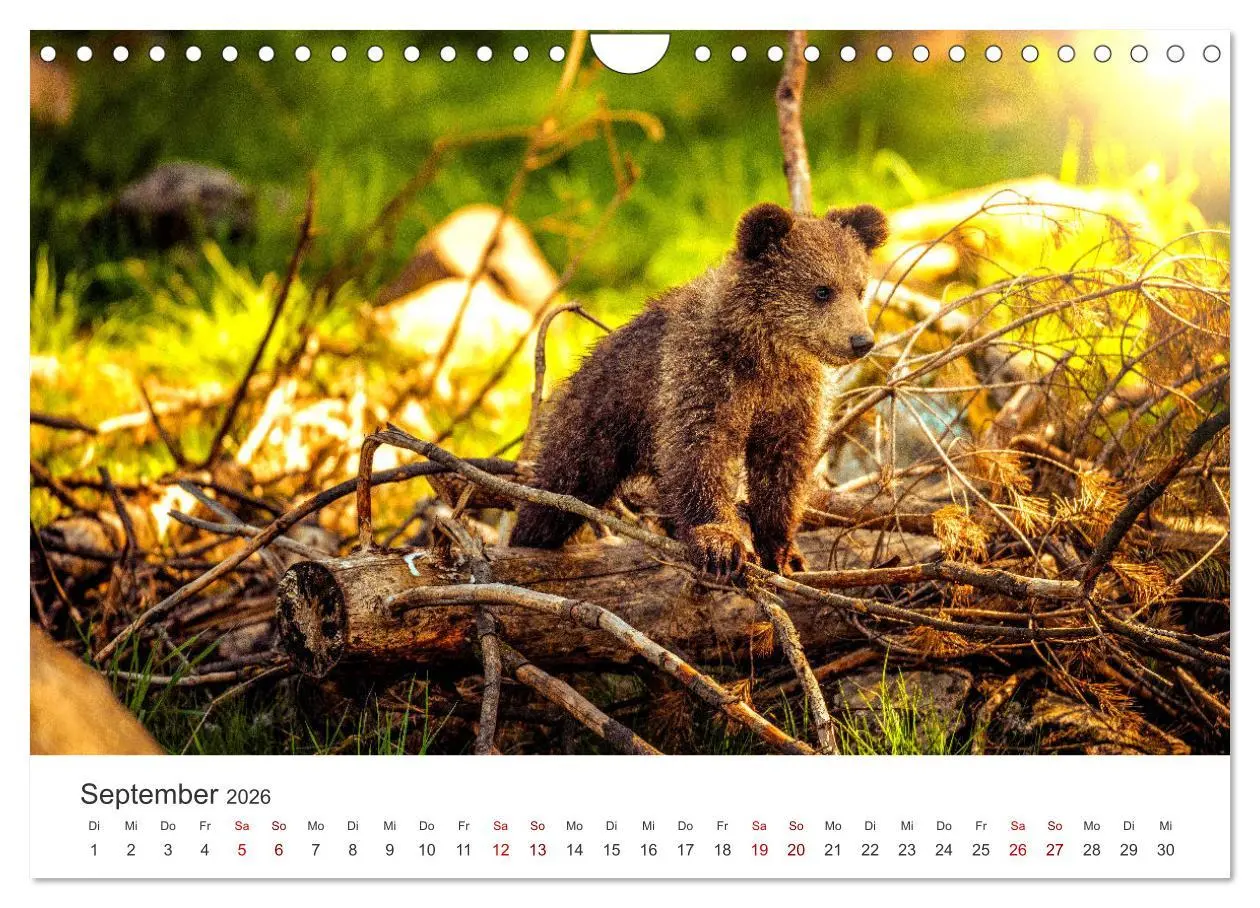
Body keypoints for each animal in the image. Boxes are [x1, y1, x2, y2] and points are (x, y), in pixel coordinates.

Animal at [510, 201, 889, 579]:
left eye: (859, 289)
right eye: (822, 290)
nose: (861, 340)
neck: (764, 355)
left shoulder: (792, 398)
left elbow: (783, 469)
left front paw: (784, 553)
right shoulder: (702, 378)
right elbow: (700, 454)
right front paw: (720, 543)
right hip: (597, 421)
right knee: (559, 488)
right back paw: (527, 538)